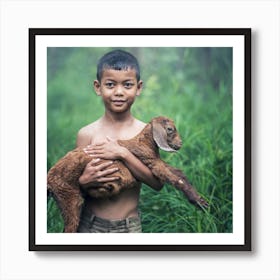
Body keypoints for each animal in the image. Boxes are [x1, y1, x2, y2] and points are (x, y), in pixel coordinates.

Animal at [47, 116, 208, 232]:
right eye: (169, 129)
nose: (180, 144)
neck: (144, 143)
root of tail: (49, 181)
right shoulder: (152, 162)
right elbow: (175, 179)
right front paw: (199, 202)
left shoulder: (156, 161)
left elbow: (179, 174)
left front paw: (201, 201)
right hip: (68, 196)